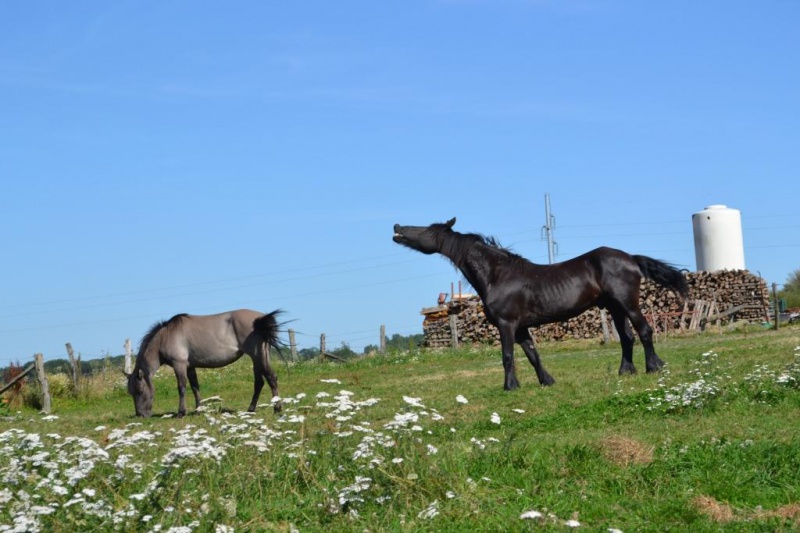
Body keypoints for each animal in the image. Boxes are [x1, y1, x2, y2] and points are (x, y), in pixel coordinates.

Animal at [126, 310, 286, 418]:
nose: (140, 415)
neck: (166, 336)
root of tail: (261, 318)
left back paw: (277, 409)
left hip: (258, 356)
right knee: (260, 382)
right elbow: (195, 387)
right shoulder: (190, 367)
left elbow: (182, 388)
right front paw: (198, 410)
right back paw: (251, 409)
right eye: (131, 393)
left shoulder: (179, 365)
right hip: (258, 358)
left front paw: (181, 412)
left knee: (271, 378)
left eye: (140, 391)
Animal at [394, 217, 688, 390]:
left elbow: (508, 356)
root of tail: (630, 258)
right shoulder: (521, 327)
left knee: (644, 331)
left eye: (427, 229)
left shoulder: (506, 325)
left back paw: (654, 367)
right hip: (615, 308)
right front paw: (547, 381)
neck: (498, 275)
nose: (396, 228)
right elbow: (533, 355)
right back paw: (626, 371)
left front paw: (510, 386)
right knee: (627, 338)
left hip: (628, 303)